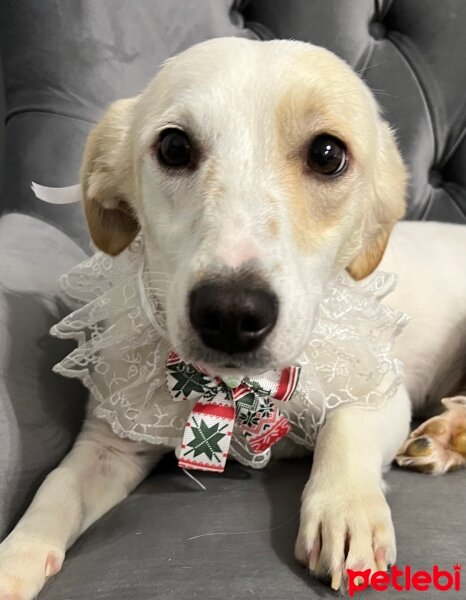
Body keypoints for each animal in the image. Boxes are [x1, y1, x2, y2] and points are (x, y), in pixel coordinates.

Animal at [0, 38, 466, 600]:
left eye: (327, 154)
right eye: (174, 148)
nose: (230, 313)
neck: (239, 385)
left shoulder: (381, 392)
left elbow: (345, 425)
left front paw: (346, 510)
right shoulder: (108, 443)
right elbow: (55, 490)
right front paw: (14, 560)